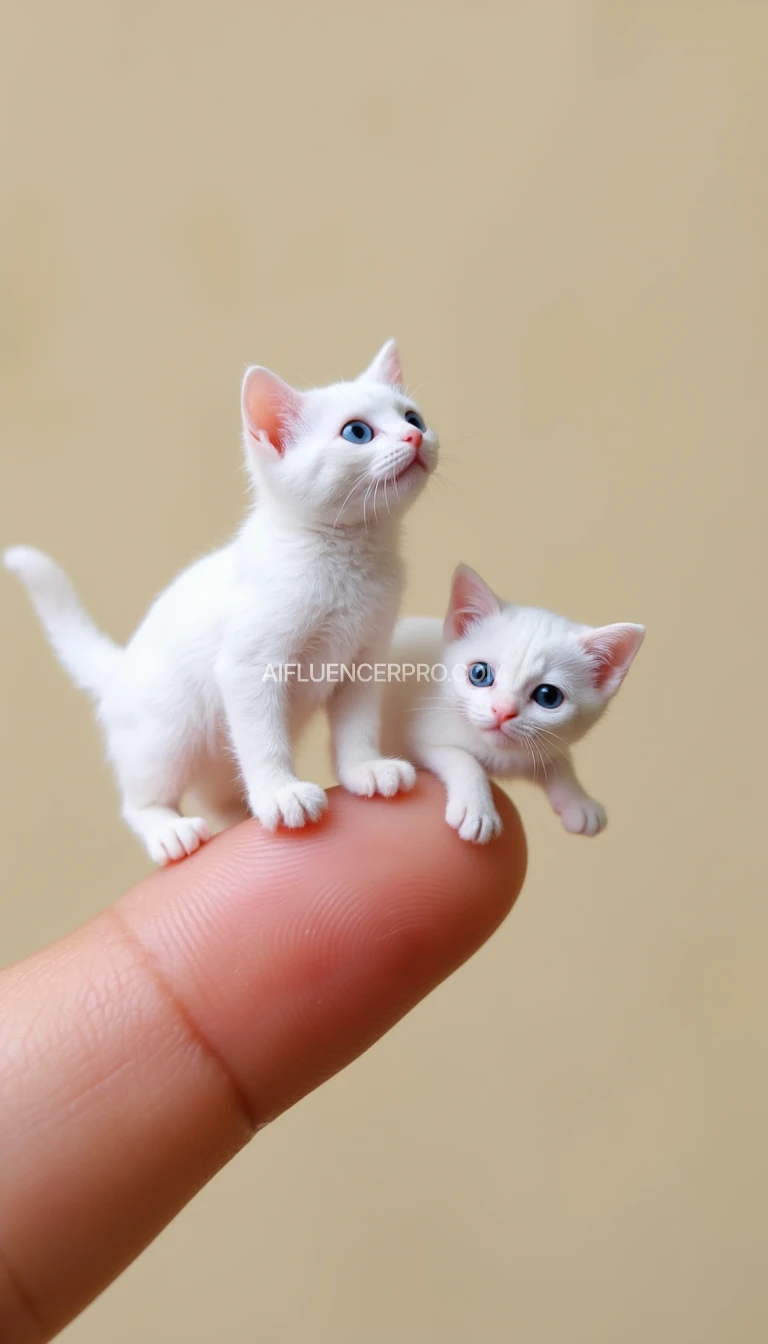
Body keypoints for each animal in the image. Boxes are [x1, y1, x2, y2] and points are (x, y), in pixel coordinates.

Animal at [4, 336, 438, 860]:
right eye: (357, 432)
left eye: (413, 417)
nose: (414, 438)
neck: (350, 559)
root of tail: (119, 668)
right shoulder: (248, 667)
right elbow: (262, 740)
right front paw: (281, 793)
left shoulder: (364, 661)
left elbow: (357, 725)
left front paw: (364, 769)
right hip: (165, 734)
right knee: (141, 798)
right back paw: (168, 830)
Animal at [381, 564, 642, 838]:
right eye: (479, 674)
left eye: (548, 696)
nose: (503, 711)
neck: (495, 752)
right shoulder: (421, 734)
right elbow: (462, 758)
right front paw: (478, 810)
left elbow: (556, 759)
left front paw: (578, 799)